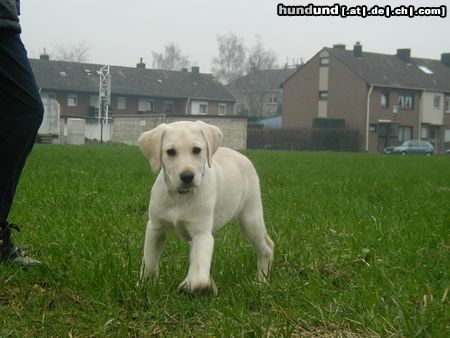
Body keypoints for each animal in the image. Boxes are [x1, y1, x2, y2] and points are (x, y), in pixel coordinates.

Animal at [137, 120, 274, 294]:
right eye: (170, 152)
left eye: (197, 150)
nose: (187, 176)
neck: (181, 196)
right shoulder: (155, 227)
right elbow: (149, 260)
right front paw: (145, 285)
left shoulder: (202, 234)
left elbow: (200, 269)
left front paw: (200, 286)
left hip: (250, 217)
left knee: (267, 247)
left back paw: (262, 282)